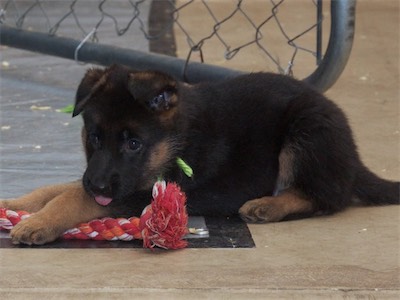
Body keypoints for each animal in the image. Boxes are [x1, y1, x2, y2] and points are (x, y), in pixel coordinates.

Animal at [1, 64, 398, 245]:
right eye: (94, 138)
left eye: (133, 144)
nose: (98, 183)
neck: (176, 137)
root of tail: (354, 157)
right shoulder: (112, 181)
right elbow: (57, 188)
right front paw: (16, 202)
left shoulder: (138, 191)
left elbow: (73, 197)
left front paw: (37, 222)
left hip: (306, 130)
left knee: (326, 197)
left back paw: (267, 205)